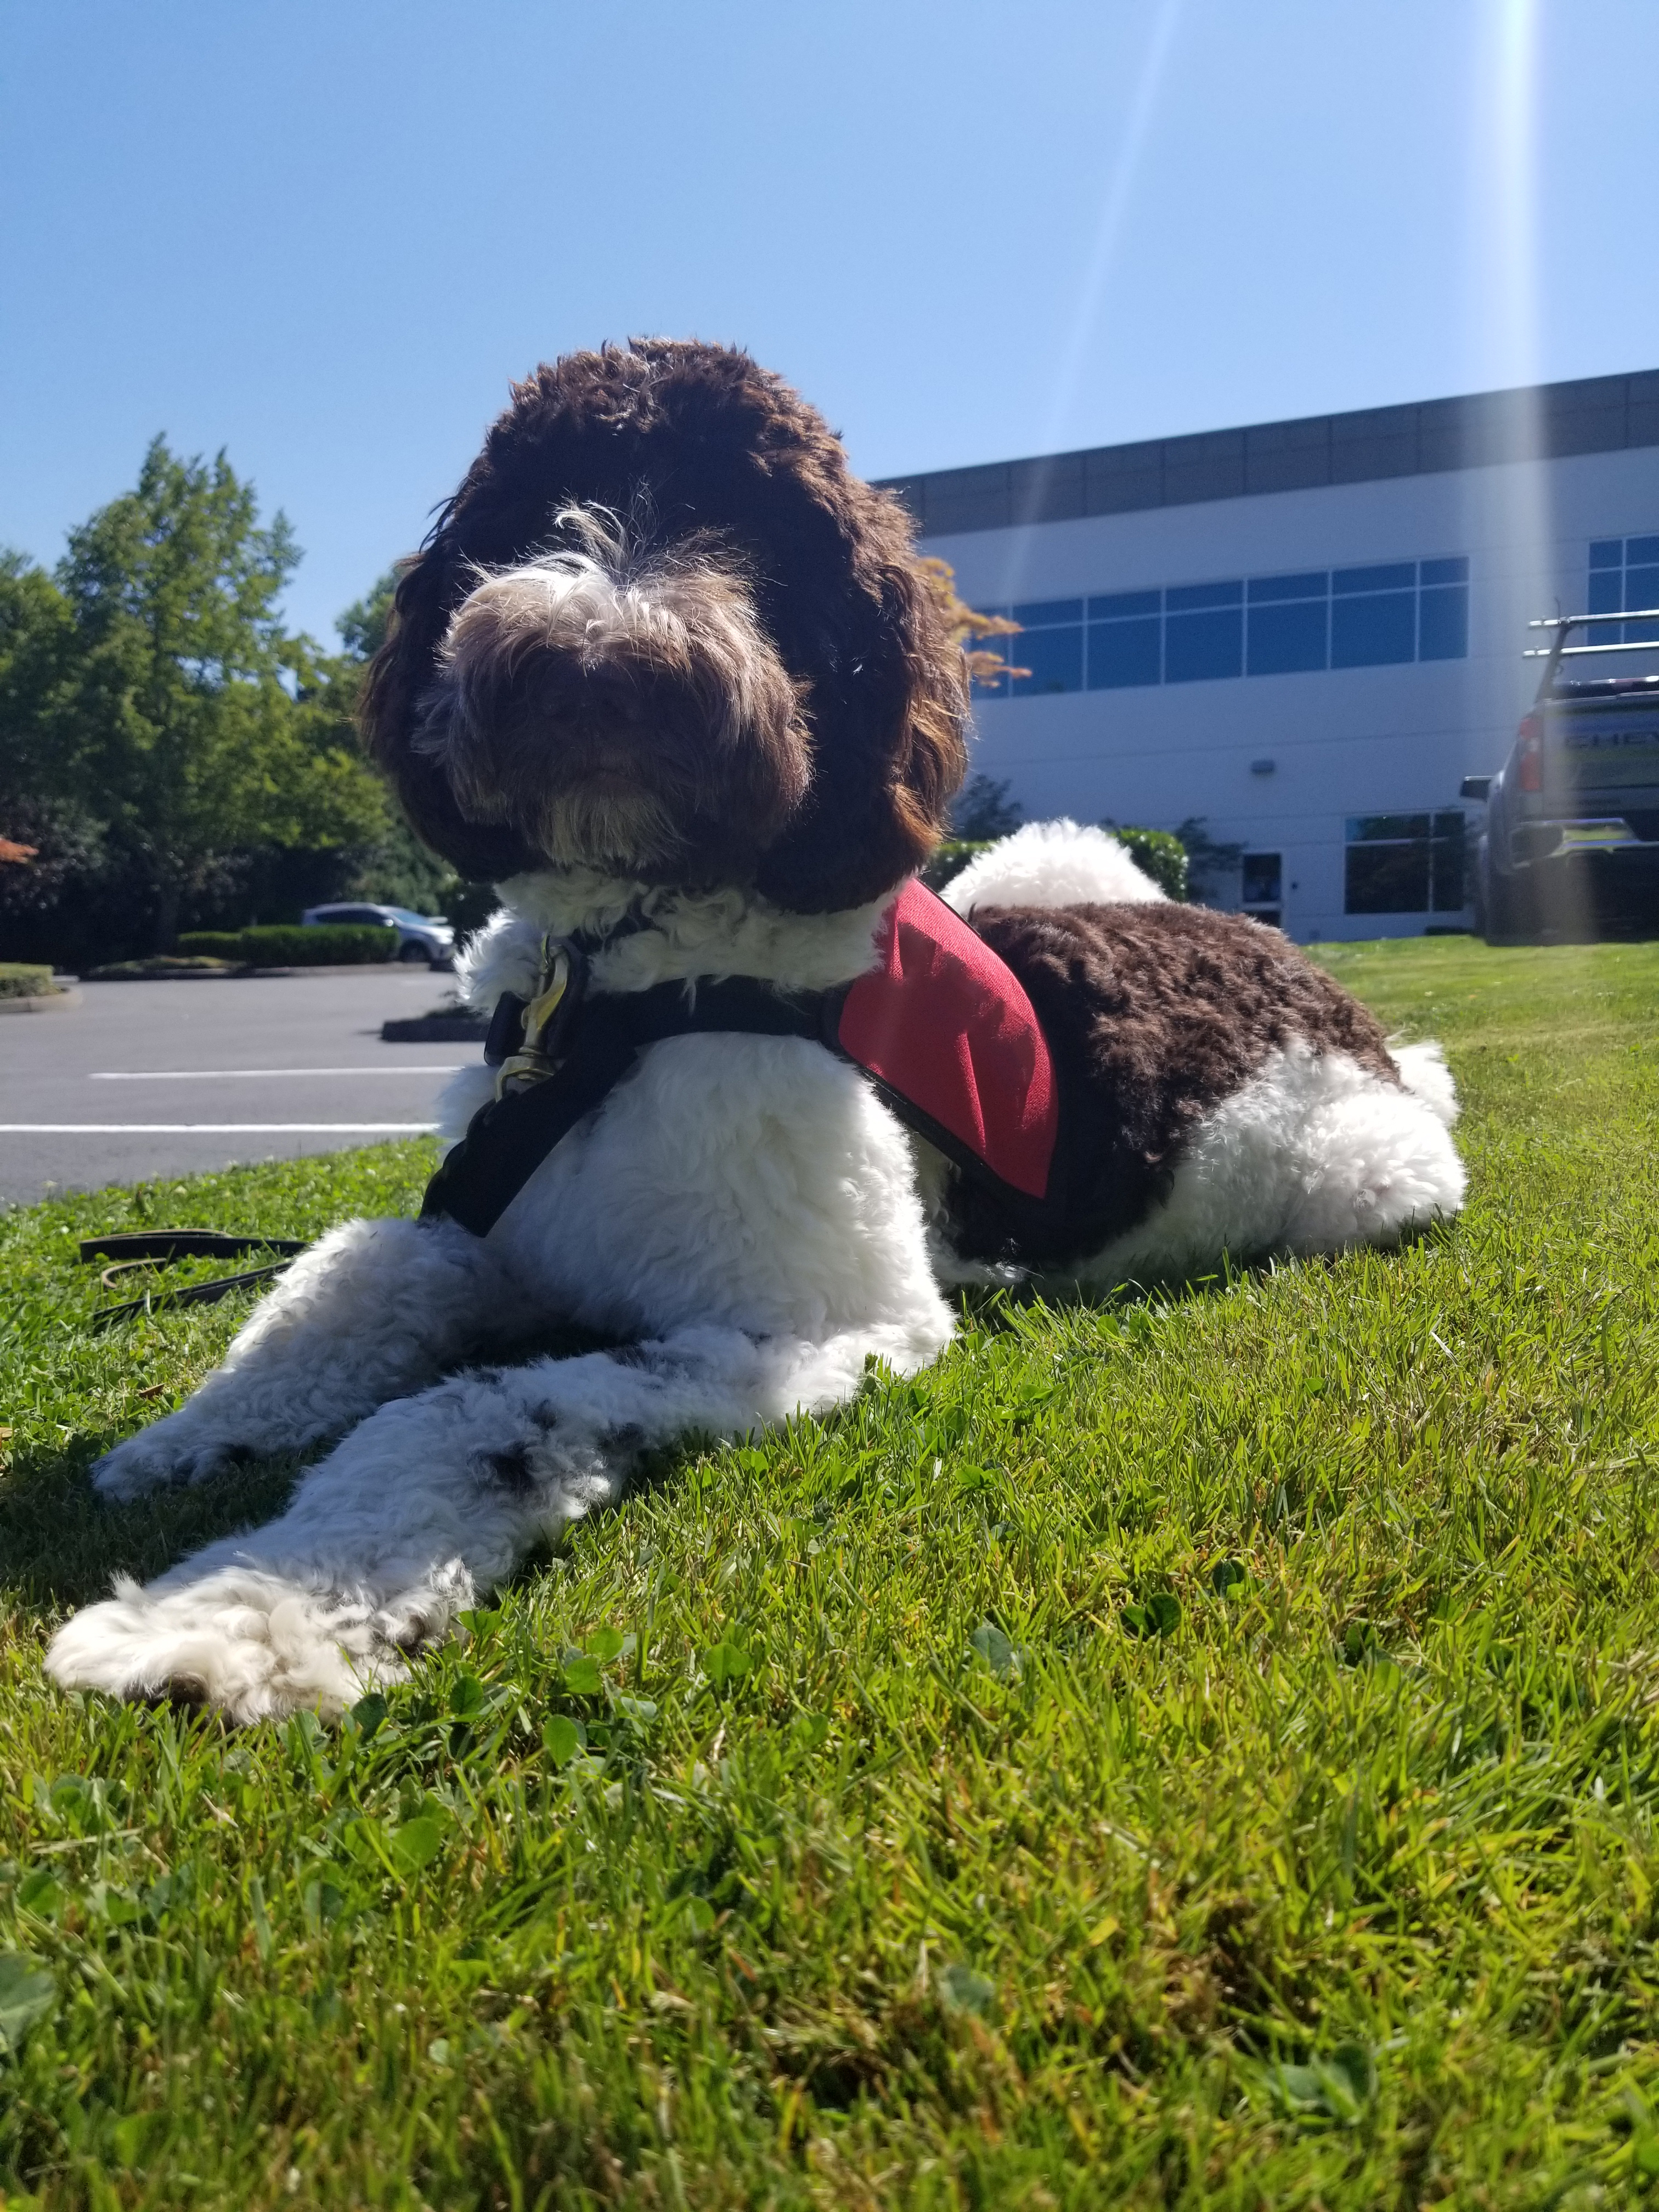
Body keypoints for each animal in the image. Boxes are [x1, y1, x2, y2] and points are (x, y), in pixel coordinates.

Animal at [45, 340, 1460, 1725]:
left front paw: (236, 1620)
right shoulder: (490, 1216)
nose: (597, 668)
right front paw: (195, 1434)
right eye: (531, 511)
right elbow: (350, 1271)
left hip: (1368, 1178)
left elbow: (474, 1407)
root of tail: (1314, 982)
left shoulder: (819, 1331)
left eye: (768, 545)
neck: (618, 984)